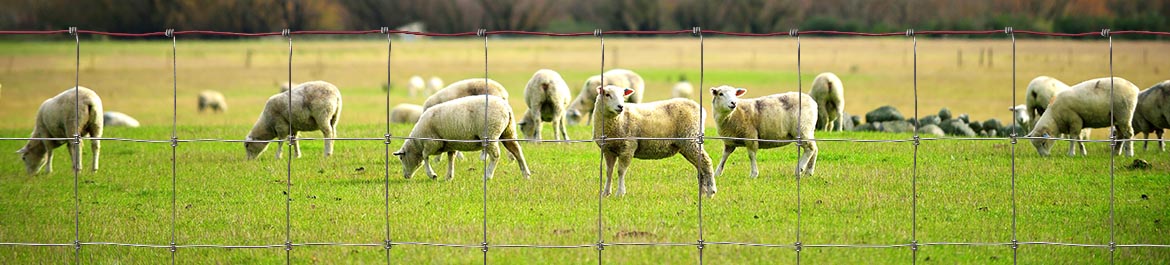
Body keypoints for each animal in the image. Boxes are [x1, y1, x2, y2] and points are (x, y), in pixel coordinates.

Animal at [397, 94, 535, 180]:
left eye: (401, 158)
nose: (405, 176)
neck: (417, 142)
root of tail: (506, 107)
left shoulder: (432, 143)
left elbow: (425, 157)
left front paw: (432, 175)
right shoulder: (450, 144)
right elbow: (451, 159)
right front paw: (449, 176)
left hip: (490, 132)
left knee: (495, 156)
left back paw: (488, 176)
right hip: (508, 131)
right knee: (517, 151)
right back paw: (526, 174)